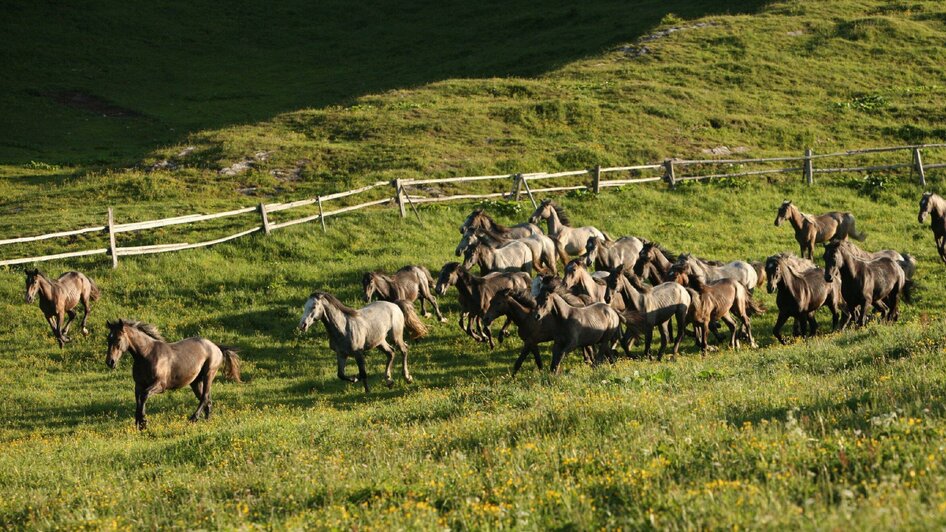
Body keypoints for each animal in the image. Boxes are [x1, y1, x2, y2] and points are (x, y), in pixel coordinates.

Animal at [105, 318, 242, 430]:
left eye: (118, 339)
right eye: (108, 339)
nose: (110, 362)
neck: (147, 355)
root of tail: (216, 347)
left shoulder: (160, 385)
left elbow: (144, 396)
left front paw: (144, 422)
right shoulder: (138, 385)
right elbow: (138, 401)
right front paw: (139, 424)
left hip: (209, 374)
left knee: (204, 398)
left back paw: (193, 419)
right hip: (196, 382)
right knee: (208, 400)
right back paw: (207, 421)